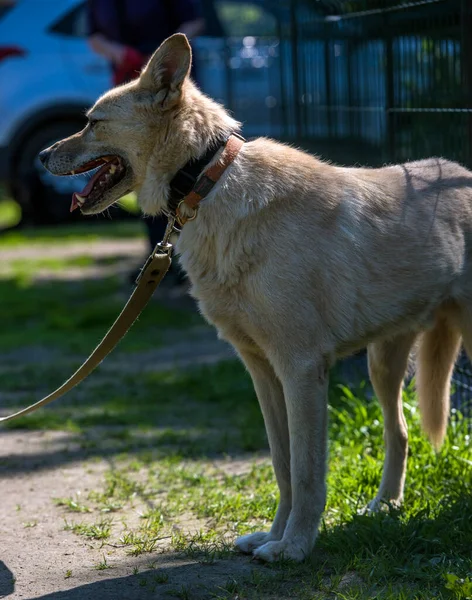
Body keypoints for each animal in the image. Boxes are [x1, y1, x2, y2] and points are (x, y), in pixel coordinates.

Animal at [38, 34, 470, 564]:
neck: (205, 179)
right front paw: (272, 536)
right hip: (382, 364)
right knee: (401, 433)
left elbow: (307, 473)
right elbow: (283, 468)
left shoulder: (301, 369)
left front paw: (296, 547)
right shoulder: (264, 373)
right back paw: (385, 506)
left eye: (92, 123)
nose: (41, 155)